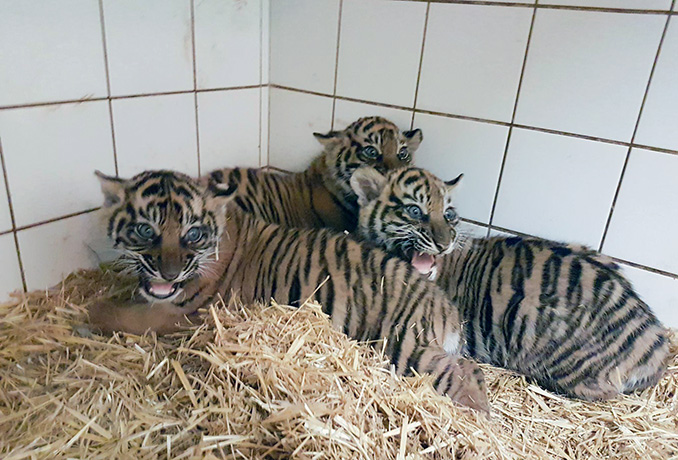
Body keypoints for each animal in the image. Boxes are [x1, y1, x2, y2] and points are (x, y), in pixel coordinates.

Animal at [87, 168, 489, 412]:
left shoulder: (185, 313)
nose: (168, 272)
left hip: (400, 343)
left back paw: (479, 418)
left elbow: (122, 314)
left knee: (463, 370)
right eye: (145, 230)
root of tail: (446, 306)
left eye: (193, 234)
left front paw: (89, 314)